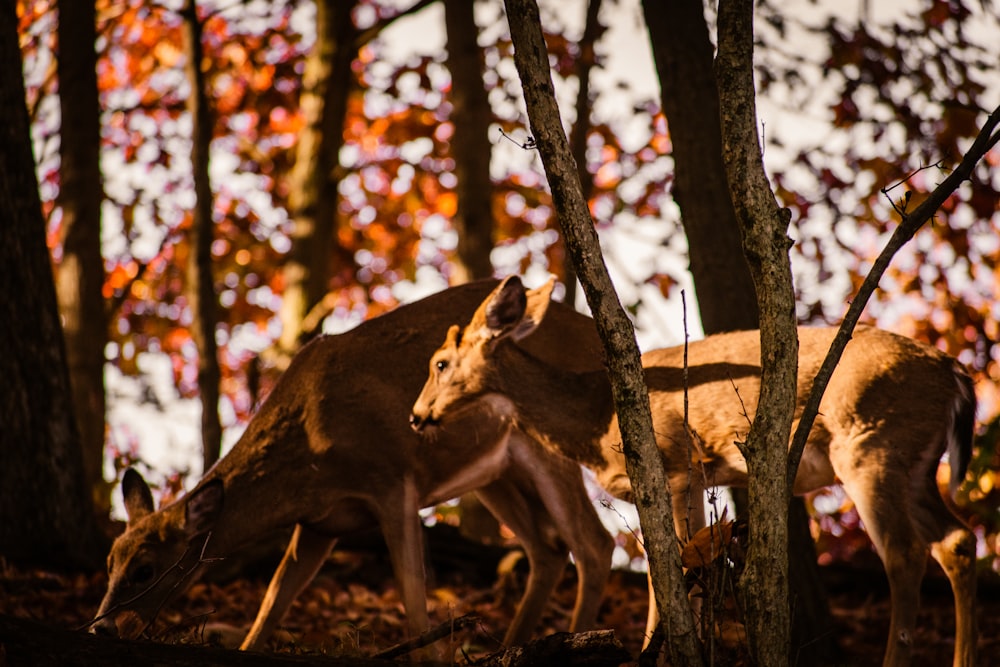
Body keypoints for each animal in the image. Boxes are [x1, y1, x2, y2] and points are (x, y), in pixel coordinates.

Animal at [90, 278, 612, 656]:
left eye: (145, 568)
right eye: (109, 562)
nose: (103, 627)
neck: (309, 452)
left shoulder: (393, 480)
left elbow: (413, 598)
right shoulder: (320, 522)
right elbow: (273, 600)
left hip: (550, 445)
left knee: (593, 543)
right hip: (494, 472)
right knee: (548, 551)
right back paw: (510, 649)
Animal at [410, 276, 980, 667]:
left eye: (439, 363)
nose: (416, 416)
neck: (594, 418)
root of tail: (954, 373)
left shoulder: (674, 464)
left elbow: (665, 574)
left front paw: (654, 653)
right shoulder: (698, 478)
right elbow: (686, 567)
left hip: (870, 446)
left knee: (905, 553)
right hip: (914, 463)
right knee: (956, 539)